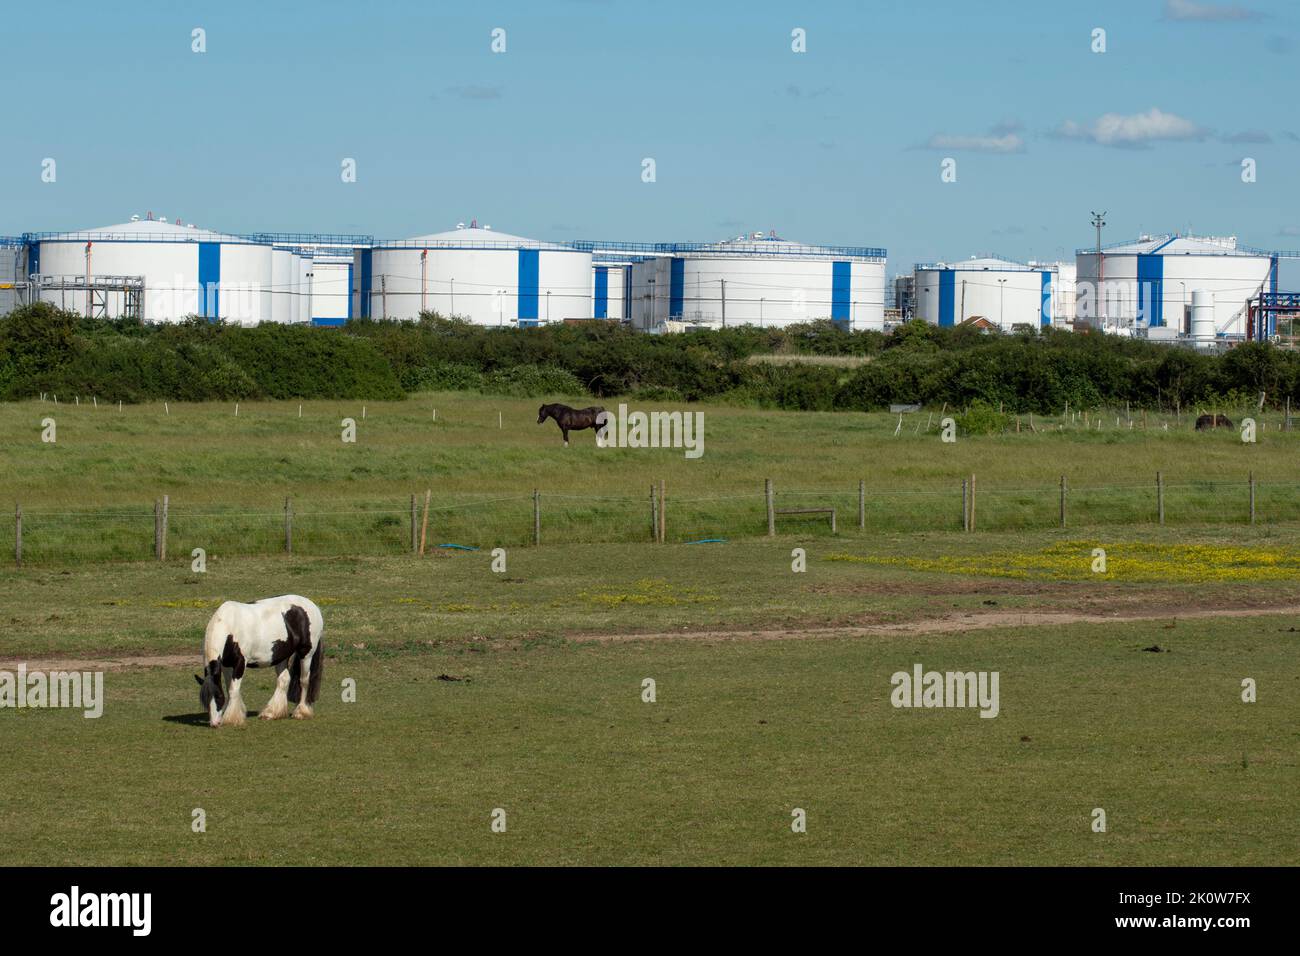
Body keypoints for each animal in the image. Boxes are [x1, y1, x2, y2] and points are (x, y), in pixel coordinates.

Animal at [194, 595, 324, 728]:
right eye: (205, 700)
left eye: (218, 697)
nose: (214, 723)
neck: (229, 626)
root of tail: (312, 605)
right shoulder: (226, 665)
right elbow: (230, 688)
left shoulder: (240, 663)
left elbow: (233, 689)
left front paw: (232, 719)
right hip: (281, 656)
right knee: (284, 680)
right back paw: (271, 713)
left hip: (306, 654)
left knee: (304, 680)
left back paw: (301, 712)